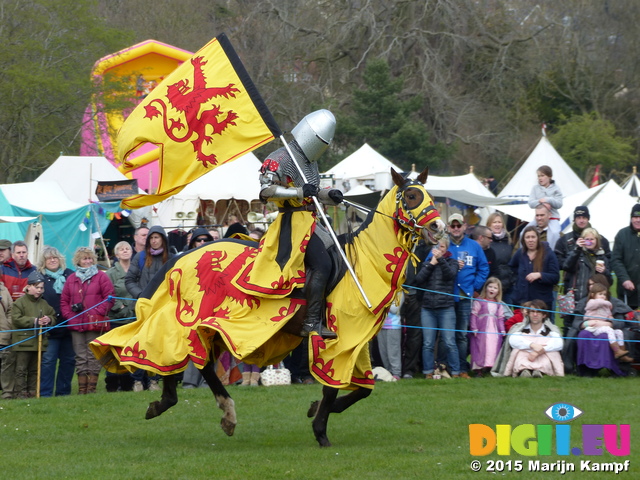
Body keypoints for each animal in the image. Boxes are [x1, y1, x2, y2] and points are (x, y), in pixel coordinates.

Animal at [91, 169, 444, 446]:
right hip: (190, 318)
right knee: (172, 350)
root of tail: (182, 256)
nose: (438, 228)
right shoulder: (340, 340)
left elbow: (363, 390)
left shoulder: (358, 342)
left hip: (210, 327)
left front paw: (315, 410)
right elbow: (332, 388)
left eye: (428, 194)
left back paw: (220, 413)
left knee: (195, 361)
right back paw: (178, 403)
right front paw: (320, 431)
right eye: (411, 195)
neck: (361, 265)